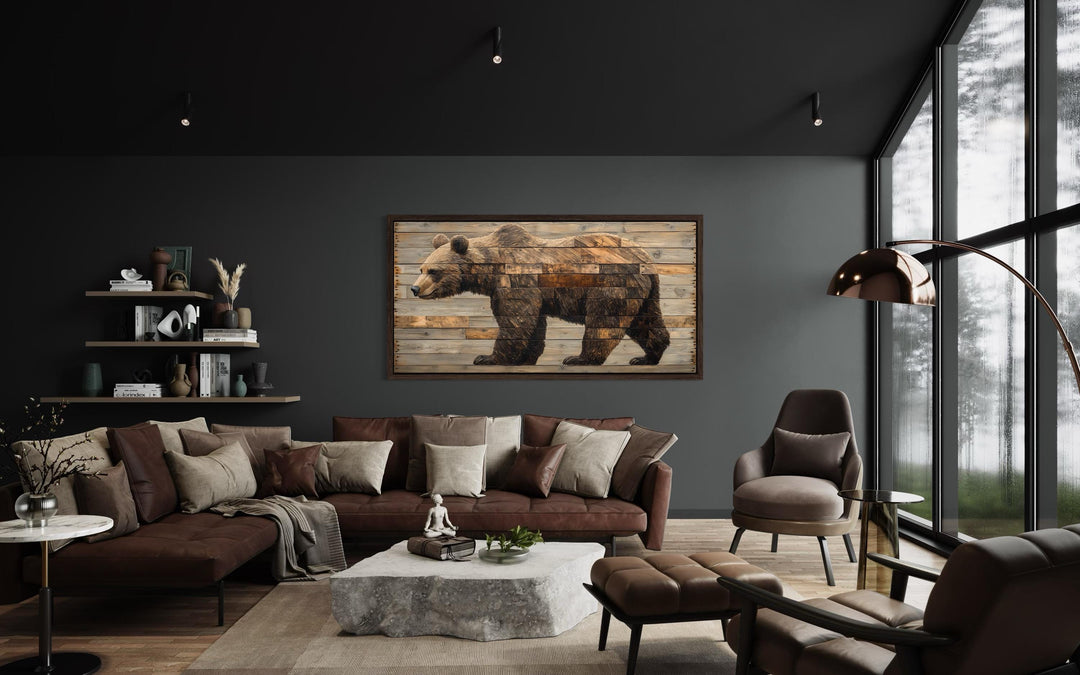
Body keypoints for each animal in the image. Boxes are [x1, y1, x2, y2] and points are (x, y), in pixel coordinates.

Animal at [409, 223, 670, 366]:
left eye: (433, 271)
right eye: (421, 268)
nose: (415, 288)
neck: (491, 268)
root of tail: (647, 257)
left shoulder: (517, 279)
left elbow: (516, 322)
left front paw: (487, 357)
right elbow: (532, 325)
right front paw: (524, 358)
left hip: (612, 283)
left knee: (604, 322)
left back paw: (579, 358)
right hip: (644, 291)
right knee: (646, 321)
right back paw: (647, 357)